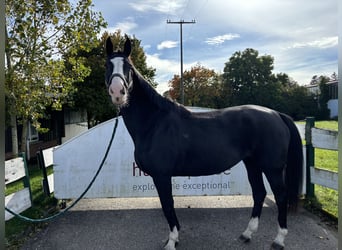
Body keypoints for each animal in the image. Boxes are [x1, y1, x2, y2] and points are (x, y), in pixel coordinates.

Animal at [104, 36, 302, 249]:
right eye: (108, 65)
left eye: (129, 67)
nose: (118, 92)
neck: (155, 123)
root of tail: (276, 114)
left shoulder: (162, 175)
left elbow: (167, 205)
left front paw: (172, 240)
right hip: (253, 164)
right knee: (259, 193)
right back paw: (247, 234)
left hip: (272, 168)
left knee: (280, 196)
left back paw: (279, 239)